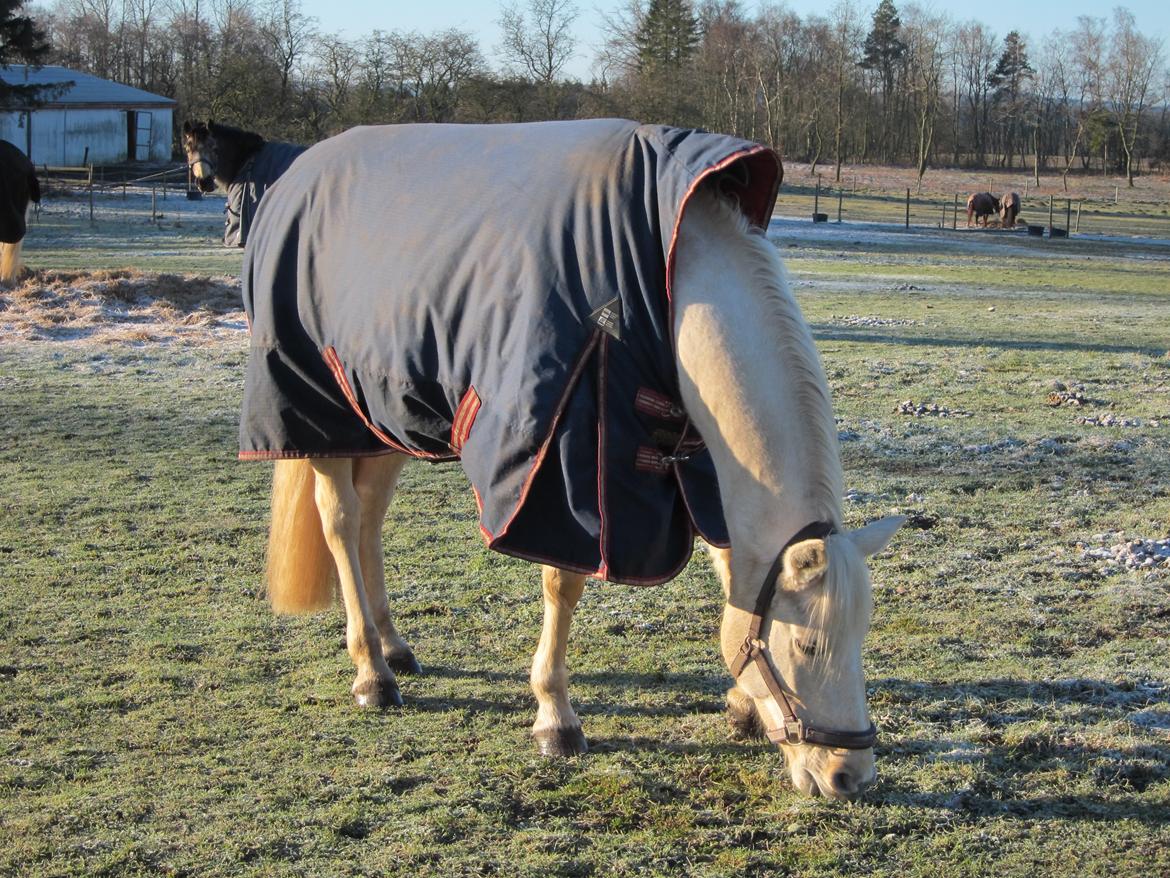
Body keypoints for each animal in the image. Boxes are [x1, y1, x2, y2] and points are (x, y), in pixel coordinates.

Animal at [239, 121, 903, 801]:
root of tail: (295, 177)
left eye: (861, 636)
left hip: (386, 414)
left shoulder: (701, 468)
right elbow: (564, 582)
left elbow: (729, 568)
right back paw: (373, 671)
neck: (668, 280)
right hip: (322, 413)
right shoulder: (563, 462)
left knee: (370, 517)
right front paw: (555, 717)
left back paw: (394, 646)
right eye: (807, 644)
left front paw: (741, 706)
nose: (849, 775)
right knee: (342, 521)